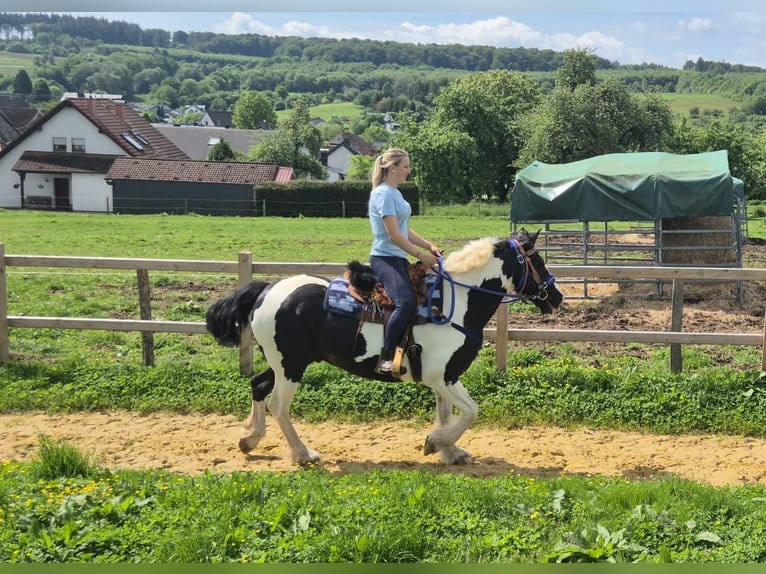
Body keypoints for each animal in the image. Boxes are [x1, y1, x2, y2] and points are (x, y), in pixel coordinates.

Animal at [205, 228, 563, 466]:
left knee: (258, 385)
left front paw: (448, 451)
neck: (456, 302)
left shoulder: (444, 378)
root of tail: (267, 290)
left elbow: (447, 413)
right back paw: (303, 454)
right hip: (291, 365)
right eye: (537, 260)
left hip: (285, 362)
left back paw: (249, 438)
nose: (557, 297)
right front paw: (436, 442)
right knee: (278, 404)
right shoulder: (442, 376)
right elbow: (470, 412)